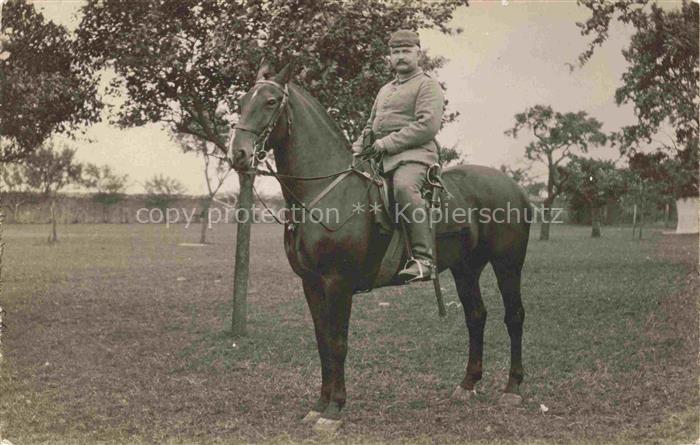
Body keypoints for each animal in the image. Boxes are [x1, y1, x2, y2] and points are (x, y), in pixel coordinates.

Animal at [229, 63, 532, 433]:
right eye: (242, 101)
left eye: (270, 101)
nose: (238, 153)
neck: (328, 193)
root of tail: (515, 188)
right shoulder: (311, 284)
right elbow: (322, 341)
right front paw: (318, 405)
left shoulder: (337, 283)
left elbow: (338, 343)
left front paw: (334, 411)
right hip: (466, 269)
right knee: (476, 316)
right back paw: (467, 384)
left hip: (507, 265)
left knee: (514, 316)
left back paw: (512, 388)